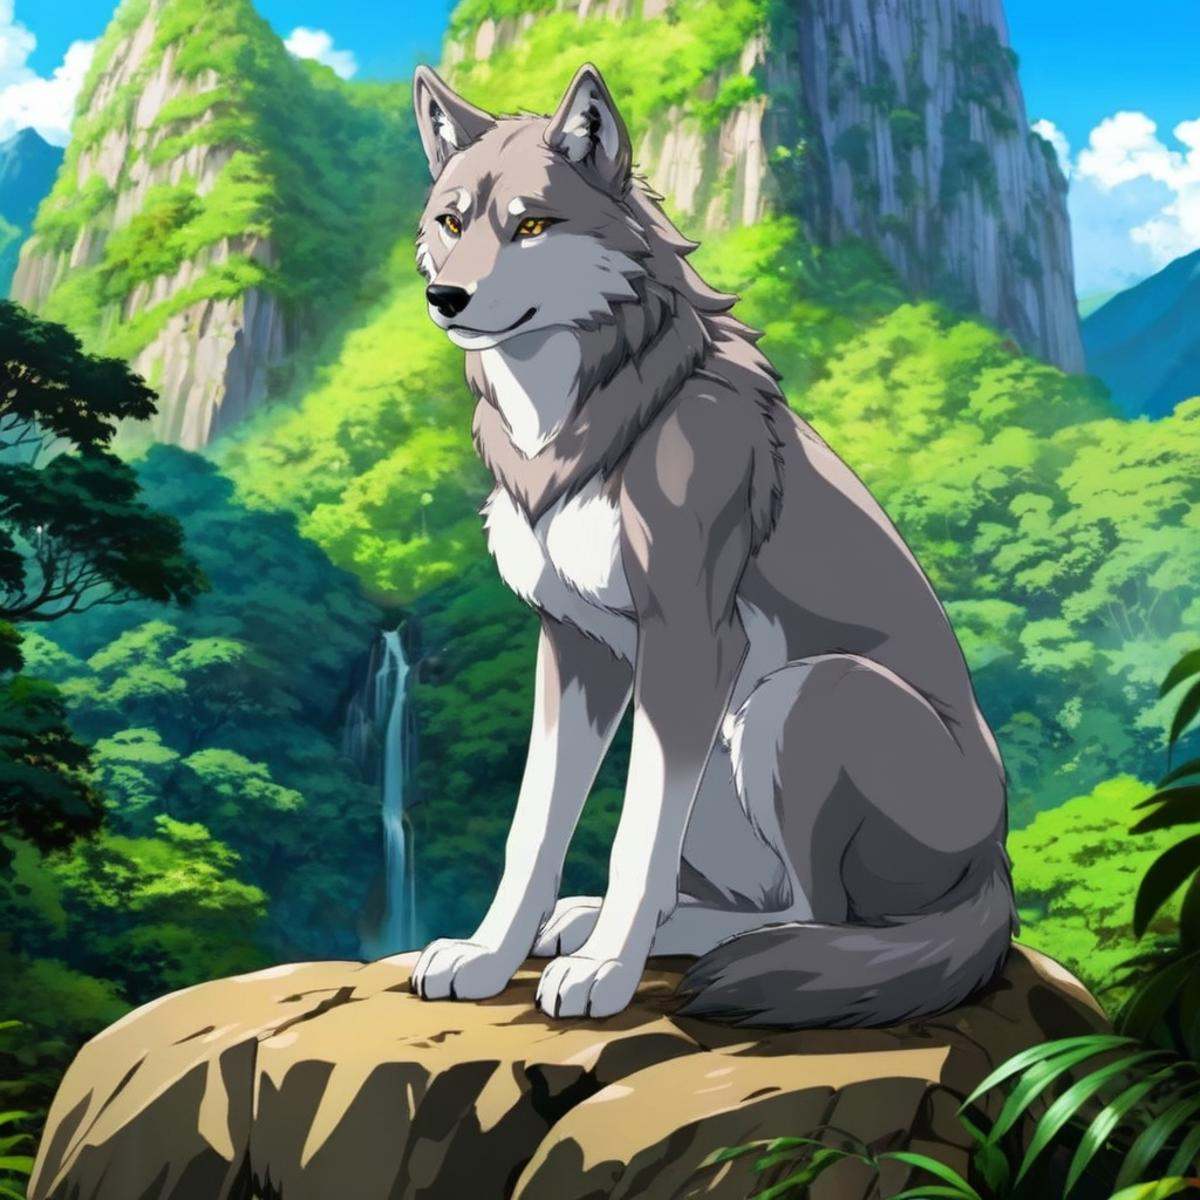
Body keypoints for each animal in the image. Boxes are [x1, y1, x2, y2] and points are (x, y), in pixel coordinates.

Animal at [407, 61, 1016, 1026]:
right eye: (452, 221)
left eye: (532, 224)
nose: (446, 299)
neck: (579, 422)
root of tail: (996, 867)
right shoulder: (576, 648)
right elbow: (533, 826)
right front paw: (487, 955)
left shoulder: (690, 640)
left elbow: (636, 835)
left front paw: (606, 973)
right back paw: (588, 921)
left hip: (799, 696)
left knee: (815, 916)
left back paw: (657, 943)